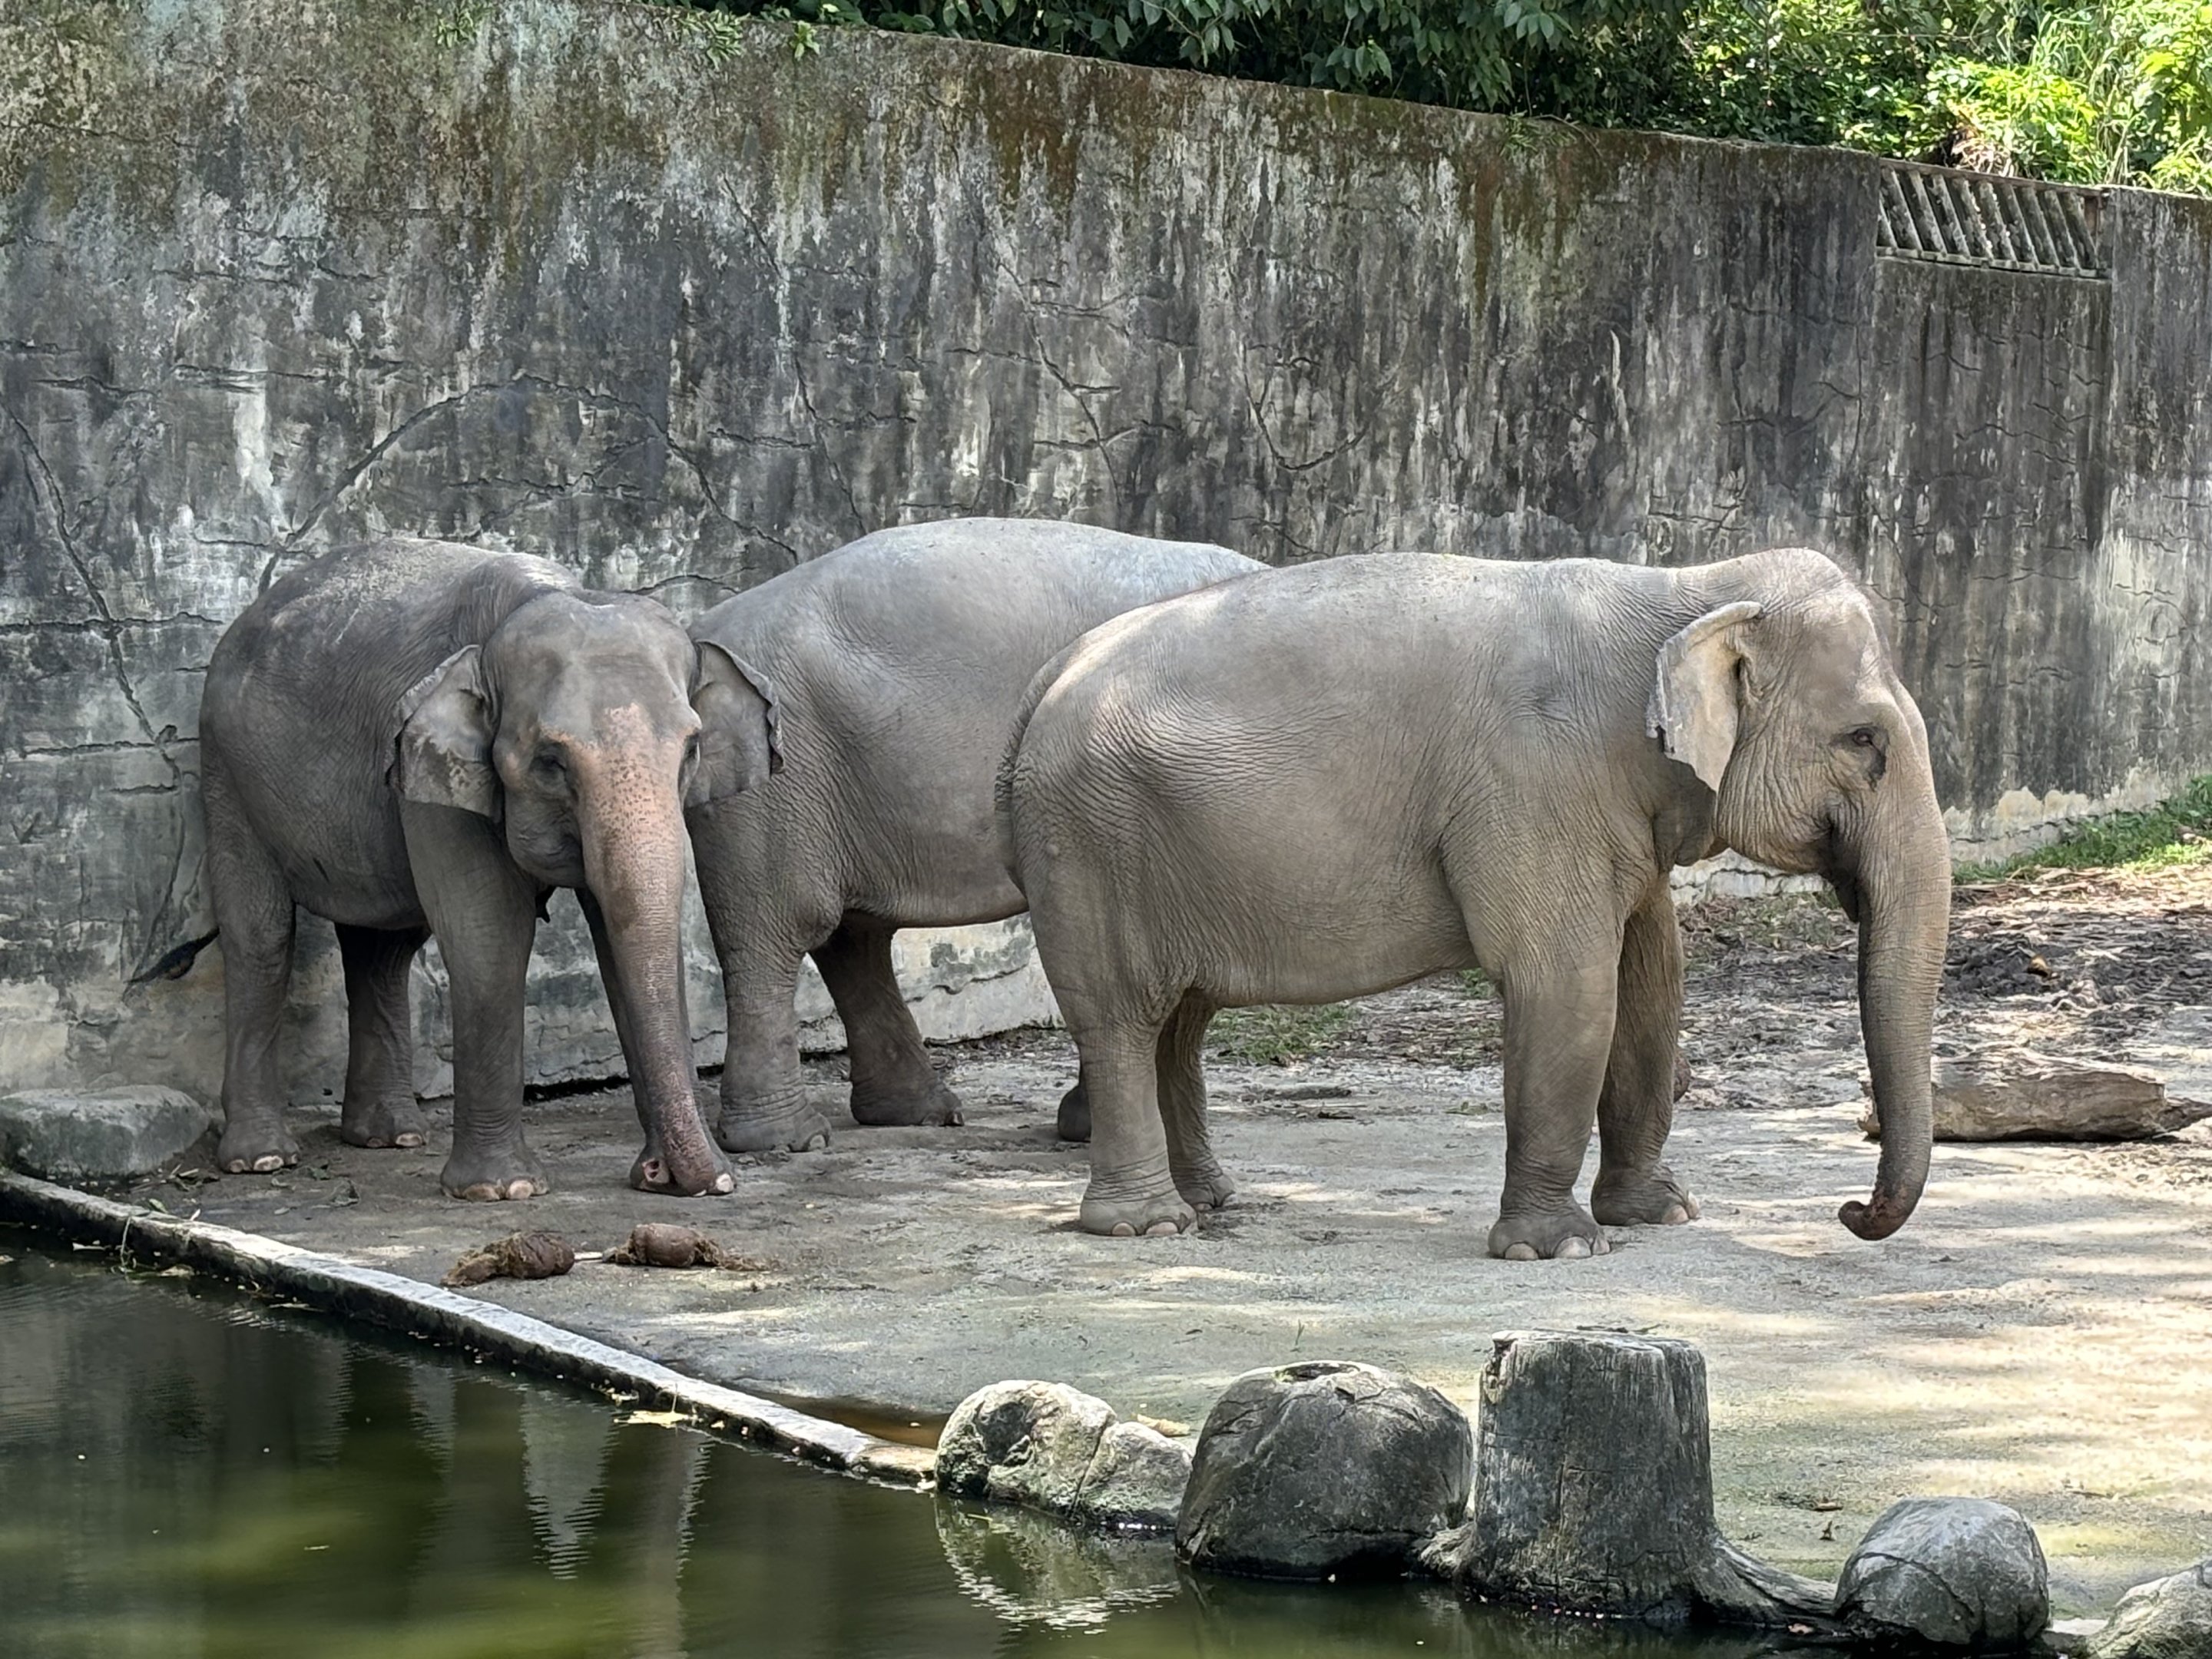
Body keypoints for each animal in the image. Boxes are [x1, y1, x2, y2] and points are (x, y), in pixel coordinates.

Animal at [187, 538, 777, 1199]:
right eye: (551, 762)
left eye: (692, 749)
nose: (671, 1176)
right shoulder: (433, 770)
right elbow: (488, 931)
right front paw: (502, 1190)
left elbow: (619, 933)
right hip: (226, 771)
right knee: (261, 937)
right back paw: (261, 1159)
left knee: (383, 947)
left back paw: (391, 1137)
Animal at [685, 518, 1261, 1154]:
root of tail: (698, 629)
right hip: (773, 784)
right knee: (783, 927)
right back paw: (792, 1139)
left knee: (850, 935)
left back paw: (917, 1114)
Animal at [1000, 547, 1950, 1256]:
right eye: (1864, 740)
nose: (1852, 1213)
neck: (1683, 589)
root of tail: (1046, 676)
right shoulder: (1536, 783)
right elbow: (1568, 985)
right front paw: (1559, 1248)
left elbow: (1653, 983)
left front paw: (1662, 1214)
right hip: (1091, 844)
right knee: (1123, 1018)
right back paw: (1149, 1225)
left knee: (1181, 1020)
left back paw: (1211, 1201)